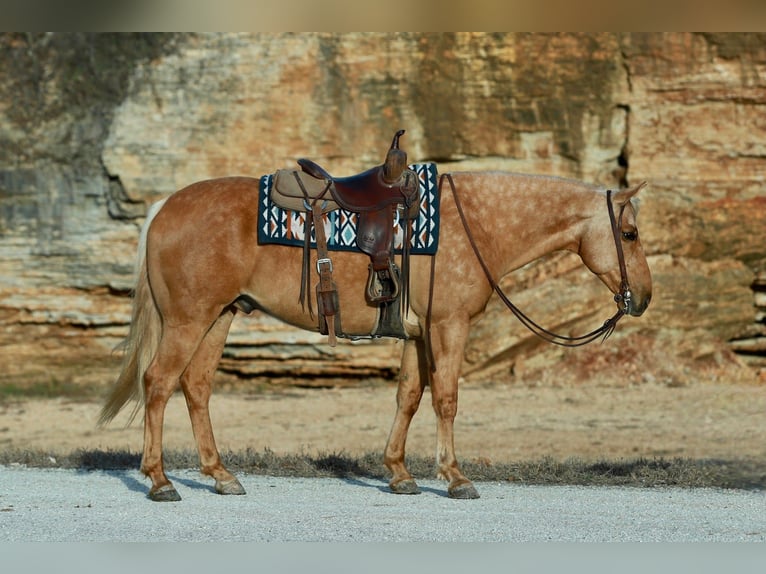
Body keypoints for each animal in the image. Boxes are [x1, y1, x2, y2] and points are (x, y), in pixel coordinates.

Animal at [99, 170, 652, 501]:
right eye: (629, 234)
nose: (643, 297)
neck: (475, 224)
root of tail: (164, 207)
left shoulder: (418, 334)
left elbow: (409, 396)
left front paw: (399, 473)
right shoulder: (448, 325)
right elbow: (446, 399)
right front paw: (455, 477)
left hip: (220, 317)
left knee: (195, 388)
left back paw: (220, 475)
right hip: (189, 319)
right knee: (158, 383)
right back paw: (160, 480)